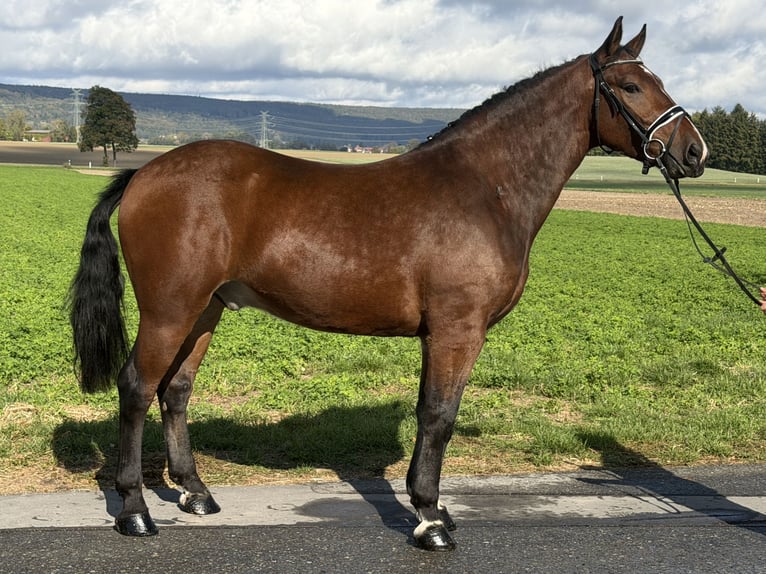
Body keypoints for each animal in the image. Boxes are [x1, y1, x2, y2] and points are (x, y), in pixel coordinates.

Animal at [69, 17, 707, 551]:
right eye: (630, 87)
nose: (694, 151)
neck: (485, 188)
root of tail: (143, 173)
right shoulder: (456, 330)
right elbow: (438, 416)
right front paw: (429, 519)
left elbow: (435, 415)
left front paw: (436, 510)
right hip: (169, 310)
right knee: (137, 387)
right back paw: (134, 510)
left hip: (206, 309)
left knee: (176, 390)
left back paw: (195, 493)